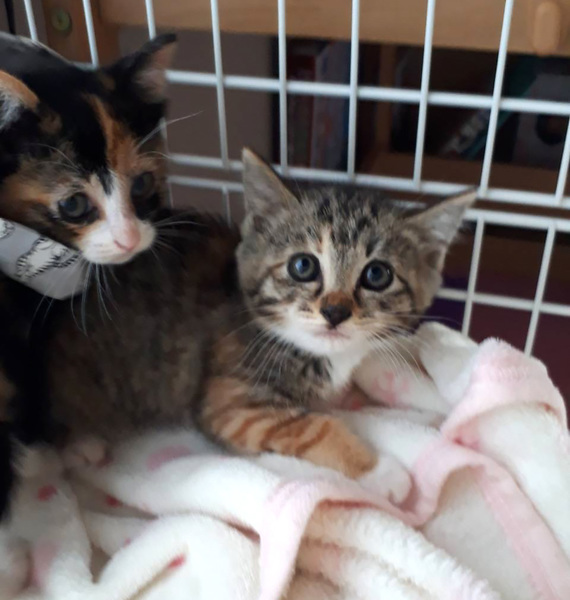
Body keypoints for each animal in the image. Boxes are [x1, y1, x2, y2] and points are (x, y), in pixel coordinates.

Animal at [41, 149, 475, 479]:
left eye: (377, 275)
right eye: (303, 266)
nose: (335, 311)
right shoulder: (231, 402)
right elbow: (315, 425)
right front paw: (378, 471)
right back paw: (81, 446)